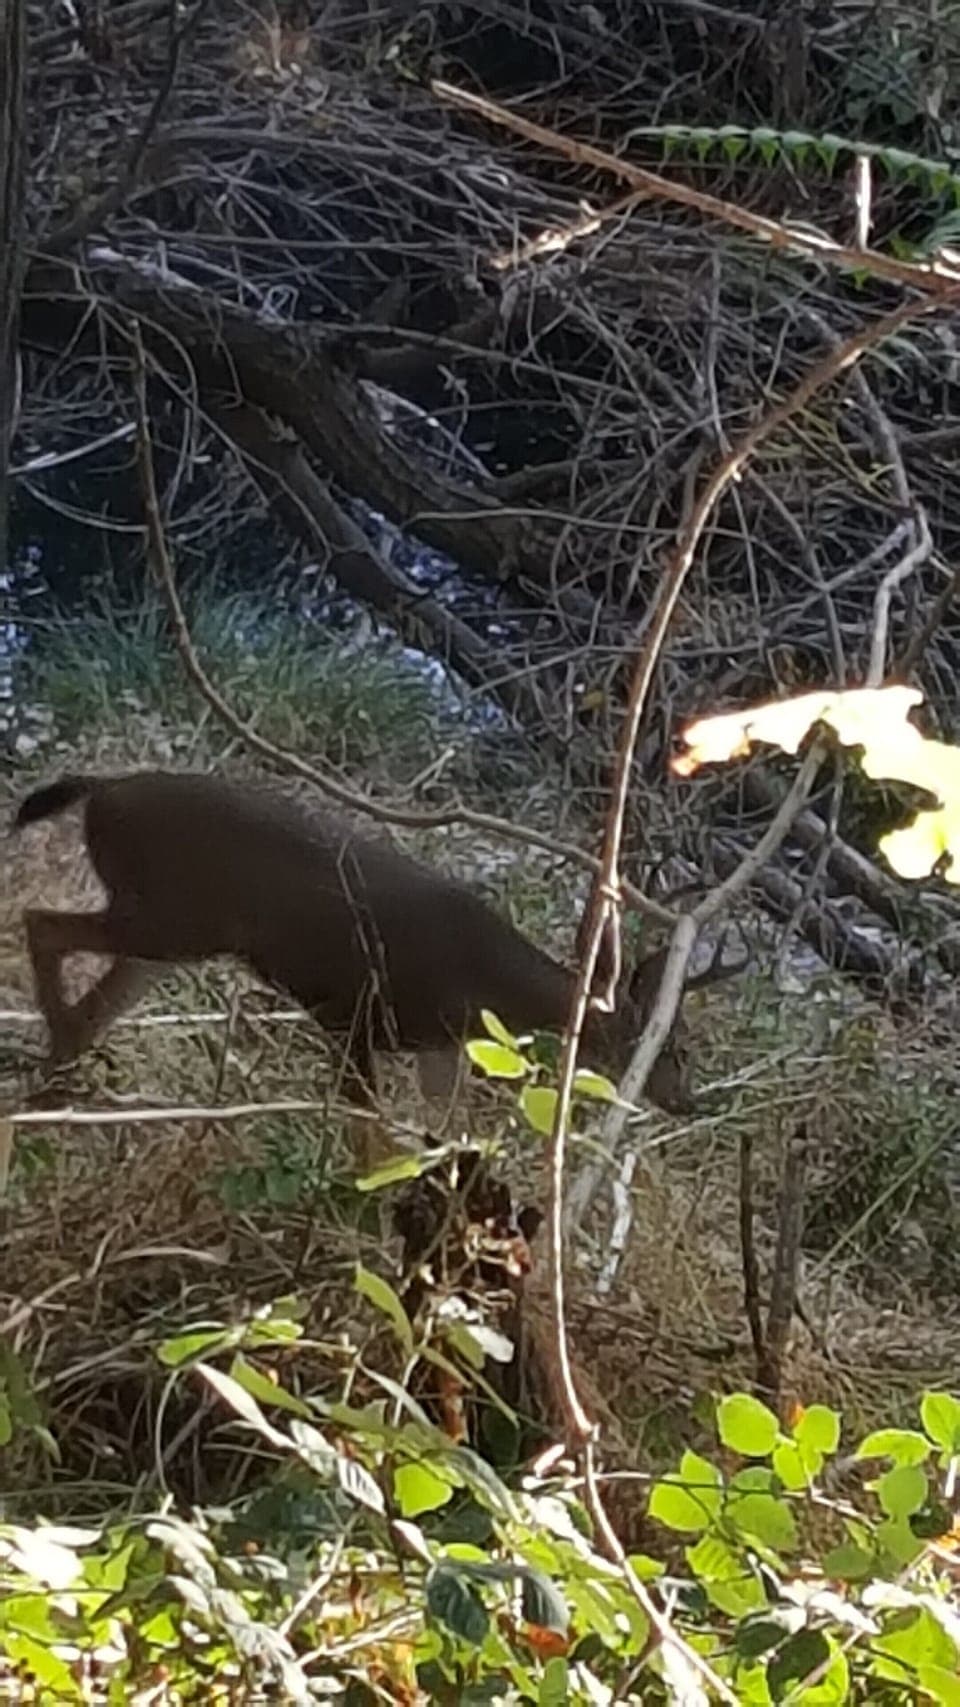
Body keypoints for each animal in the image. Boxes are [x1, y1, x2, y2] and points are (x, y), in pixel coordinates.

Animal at [13, 769, 729, 1117]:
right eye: (673, 1048)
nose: (688, 1102)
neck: (493, 982)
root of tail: (102, 790)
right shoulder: (360, 1015)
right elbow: (374, 1130)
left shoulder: (438, 1043)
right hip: (170, 913)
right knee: (40, 922)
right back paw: (54, 1061)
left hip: (170, 931)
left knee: (95, 990)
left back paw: (58, 1077)